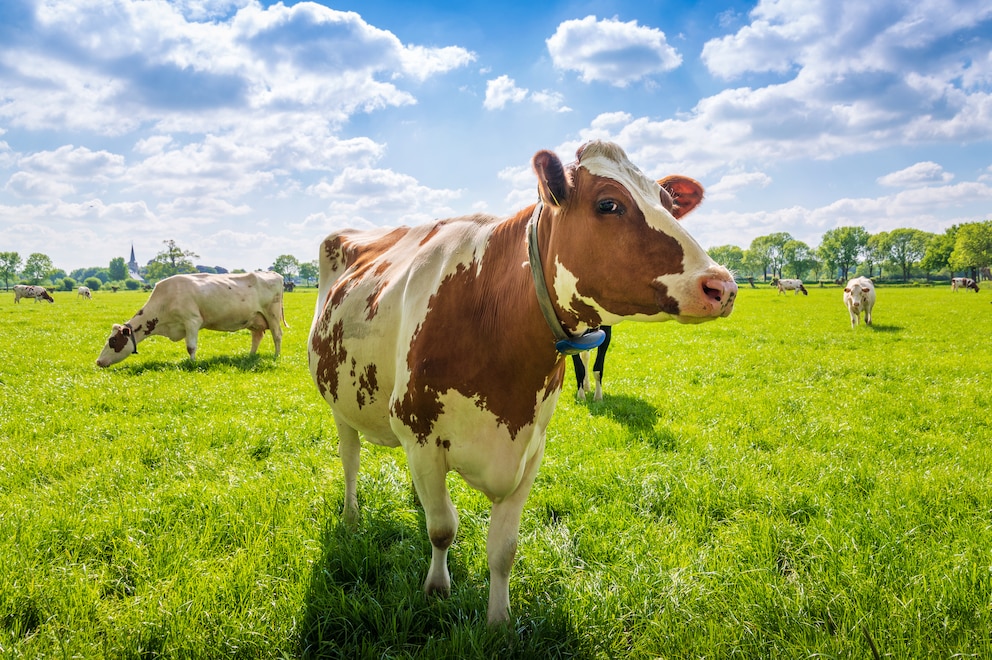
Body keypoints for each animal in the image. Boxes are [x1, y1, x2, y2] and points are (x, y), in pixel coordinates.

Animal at [96, 270, 286, 368]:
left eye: (113, 341)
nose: (98, 361)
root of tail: (274, 274)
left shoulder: (192, 321)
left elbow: (191, 347)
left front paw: (193, 363)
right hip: (254, 319)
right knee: (257, 336)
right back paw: (250, 356)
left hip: (273, 314)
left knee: (277, 335)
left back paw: (276, 356)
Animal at [308, 141, 736, 624]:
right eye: (609, 204)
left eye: (667, 203)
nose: (722, 285)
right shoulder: (420, 435)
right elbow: (443, 529)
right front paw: (437, 588)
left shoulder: (530, 447)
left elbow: (503, 549)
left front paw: (499, 621)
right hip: (339, 404)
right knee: (350, 461)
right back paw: (351, 517)